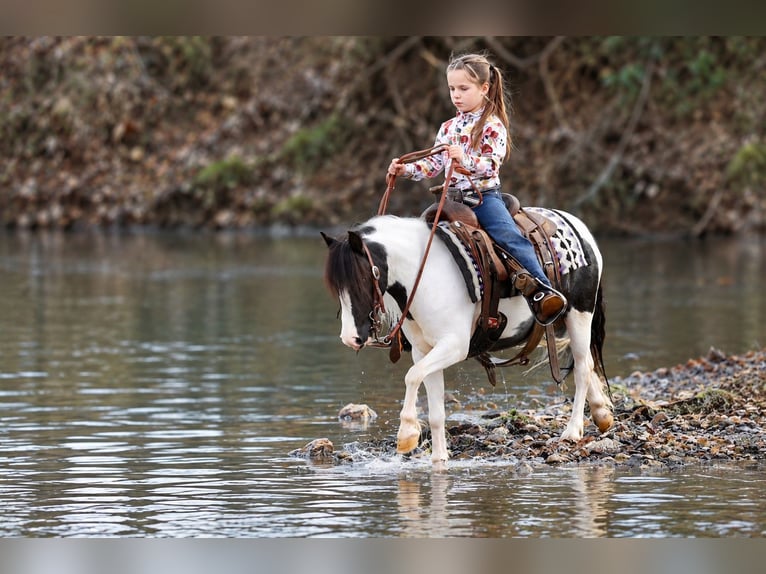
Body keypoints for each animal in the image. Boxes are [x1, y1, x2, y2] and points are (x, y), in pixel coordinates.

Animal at [322, 209, 613, 463]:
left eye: (363, 279)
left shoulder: (454, 345)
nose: (350, 338)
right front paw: (439, 458)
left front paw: (406, 436)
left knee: (583, 367)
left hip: (579, 313)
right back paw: (602, 414)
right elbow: (435, 407)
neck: (424, 275)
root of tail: (579, 227)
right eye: (336, 288)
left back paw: (572, 431)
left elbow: (412, 376)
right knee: (585, 364)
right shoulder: (425, 351)